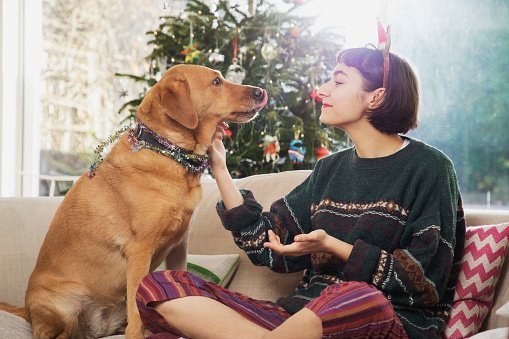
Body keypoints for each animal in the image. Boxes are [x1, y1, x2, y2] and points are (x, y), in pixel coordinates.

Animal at [0, 64, 268, 339]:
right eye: (216, 81)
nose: (261, 91)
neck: (170, 152)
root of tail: (27, 310)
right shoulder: (140, 250)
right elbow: (137, 316)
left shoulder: (179, 246)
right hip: (63, 307)